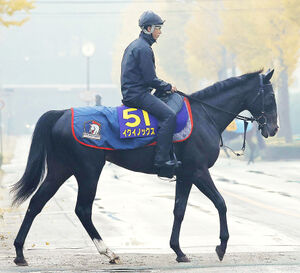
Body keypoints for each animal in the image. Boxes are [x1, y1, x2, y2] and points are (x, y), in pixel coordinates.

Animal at [11, 69, 278, 264]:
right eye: (271, 96)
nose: (274, 129)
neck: (205, 115)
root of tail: (63, 113)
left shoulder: (185, 174)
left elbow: (179, 210)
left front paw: (178, 251)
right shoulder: (198, 171)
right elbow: (221, 203)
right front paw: (221, 245)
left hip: (61, 169)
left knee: (36, 203)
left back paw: (20, 253)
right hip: (88, 171)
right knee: (82, 210)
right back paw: (108, 251)